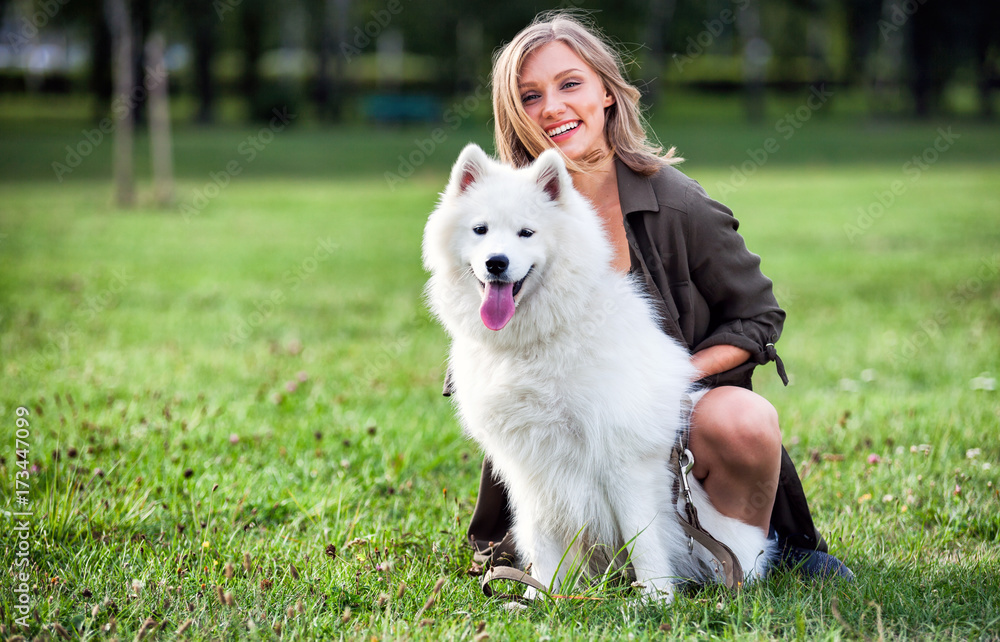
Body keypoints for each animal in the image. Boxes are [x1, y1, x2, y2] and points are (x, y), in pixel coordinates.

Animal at [422, 142, 772, 596]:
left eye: (526, 233)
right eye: (480, 230)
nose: (496, 263)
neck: (535, 341)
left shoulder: (624, 457)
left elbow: (643, 537)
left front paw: (655, 599)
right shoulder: (530, 467)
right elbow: (542, 542)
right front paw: (540, 598)